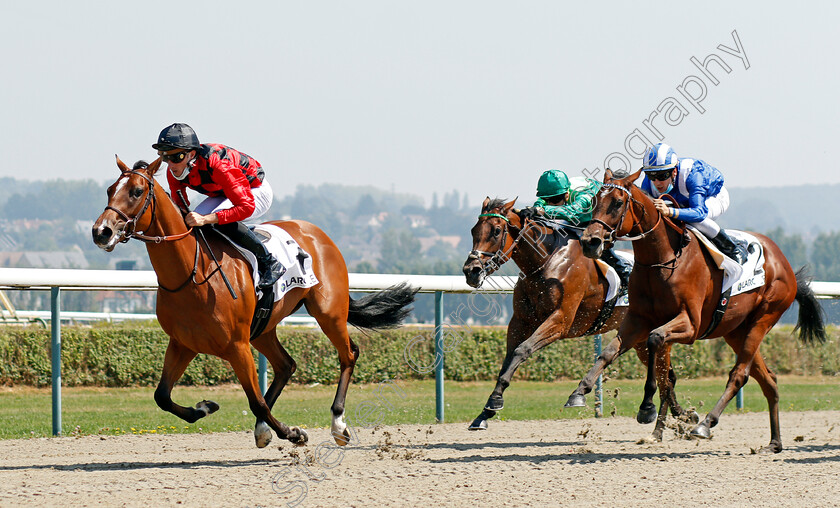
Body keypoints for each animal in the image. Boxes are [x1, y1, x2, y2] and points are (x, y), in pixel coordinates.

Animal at [92, 158, 416, 448]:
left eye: (136, 191)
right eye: (109, 190)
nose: (101, 231)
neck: (192, 273)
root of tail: (319, 234)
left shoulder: (236, 345)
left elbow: (256, 401)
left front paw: (294, 433)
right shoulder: (183, 343)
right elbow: (162, 396)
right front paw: (205, 407)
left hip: (328, 312)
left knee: (348, 354)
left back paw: (338, 424)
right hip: (263, 328)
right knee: (286, 365)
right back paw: (264, 428)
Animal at [466, 196, 684, 430]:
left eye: (496, 231)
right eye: (473, 230)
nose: (471, 271)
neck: (546, 262)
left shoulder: (560, 320)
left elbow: (521, 350)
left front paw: (495, 401)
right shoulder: (520, 322)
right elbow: (508, 359)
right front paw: (485, 411)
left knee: (666, 375)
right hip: (638, 338)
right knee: (665, 375)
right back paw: (681, 416)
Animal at [576, 171, 828, 452]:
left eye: (618, 203)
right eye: (594, 200)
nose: (589, 242)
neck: (663, 259)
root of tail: (784, 262)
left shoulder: (689, 325)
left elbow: (656, 344)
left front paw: (647, 408)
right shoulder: (638, 320)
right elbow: (611, 353)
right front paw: (580, 391)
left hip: (764, 318)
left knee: (739, 375)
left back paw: (706, 424)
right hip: (736, 331)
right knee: (769, 381)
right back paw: (774, 443)